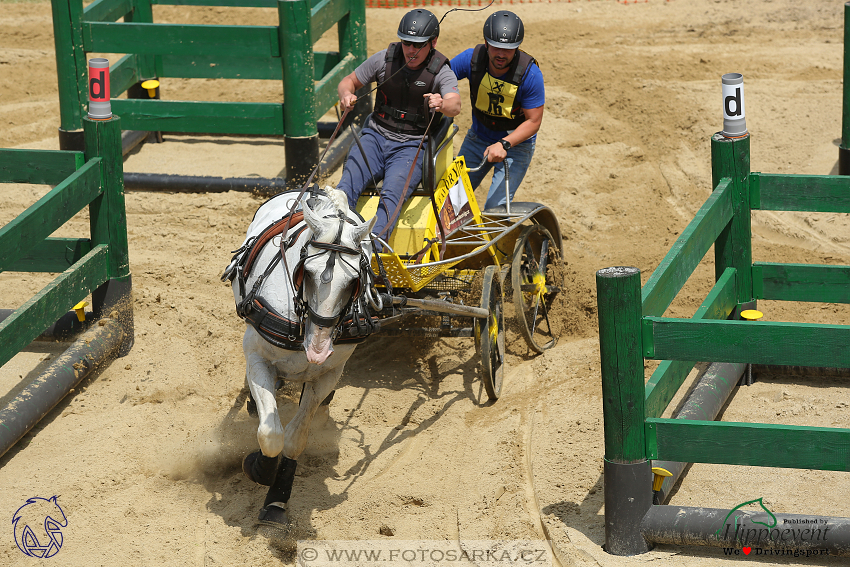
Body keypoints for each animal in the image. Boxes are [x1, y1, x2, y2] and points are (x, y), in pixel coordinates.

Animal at [222, 189, 374, 532]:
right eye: (309, 273)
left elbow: (294, 438)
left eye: (354, 281)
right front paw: (258, 468)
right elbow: (270, 434)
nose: (318, 348)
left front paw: (276, 500)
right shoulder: (257, 358)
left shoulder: (328, 374)